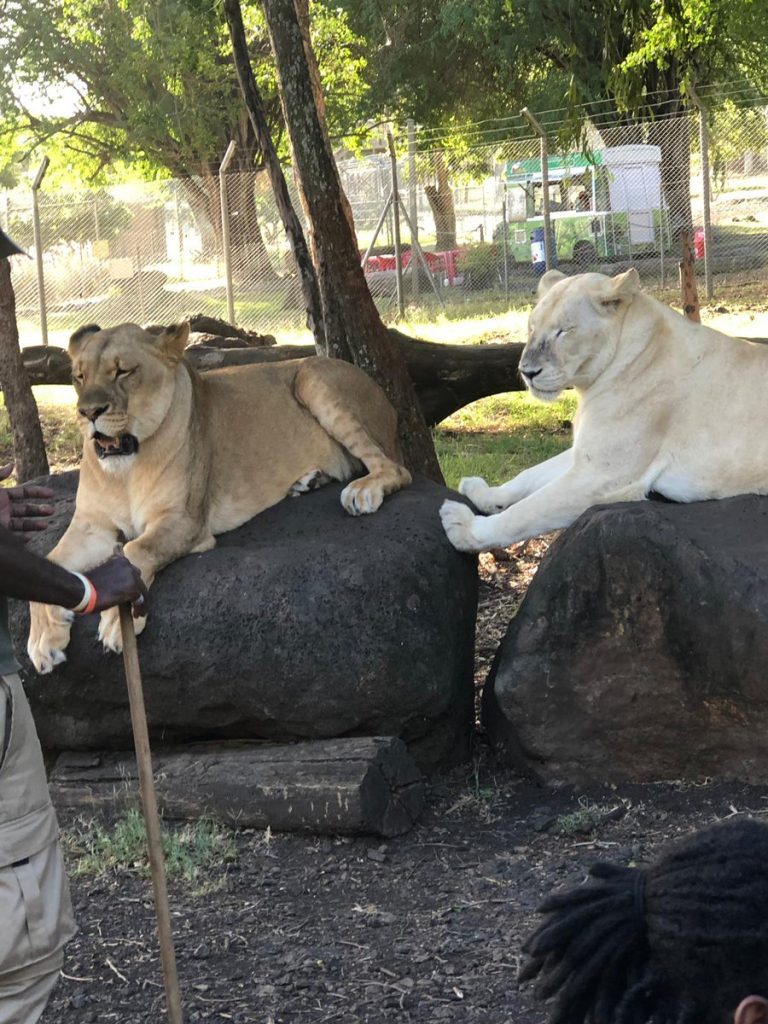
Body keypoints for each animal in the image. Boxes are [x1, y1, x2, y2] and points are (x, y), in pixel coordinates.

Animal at [28, 322, 411, 674]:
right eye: (78, 377)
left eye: (124, 371)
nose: (88, 413)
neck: (124, 470)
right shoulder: (91, 527)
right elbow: (50, 561)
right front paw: (45, 639)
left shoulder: (186, 522)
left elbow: (136, 550)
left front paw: (116, 622)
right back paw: (308, 480)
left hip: (311, 378)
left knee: (395, 469)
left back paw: (362, 490)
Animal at [441, 267, 768, 552]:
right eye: (532, 327)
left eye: (564, 331)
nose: (527, 372)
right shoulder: (587, 453)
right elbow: (529, 475)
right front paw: (485, 493)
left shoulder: (604, 476)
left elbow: (527, 511)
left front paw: (464, 527)